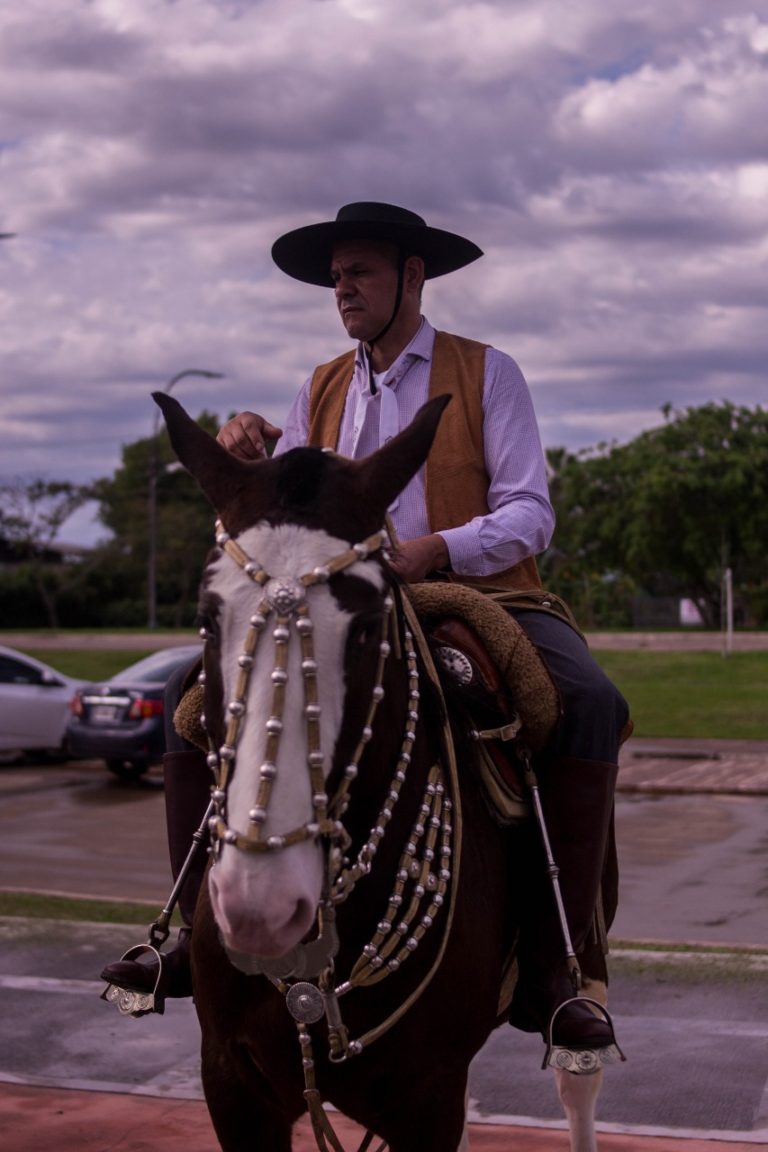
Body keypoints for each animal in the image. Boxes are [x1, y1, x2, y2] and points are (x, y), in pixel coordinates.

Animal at [156, 393, 612, 1152]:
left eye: (368, 626)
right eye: (207, 619)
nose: (261, 903)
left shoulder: (429, 1098)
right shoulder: (230, 1081)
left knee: (578, 1078)